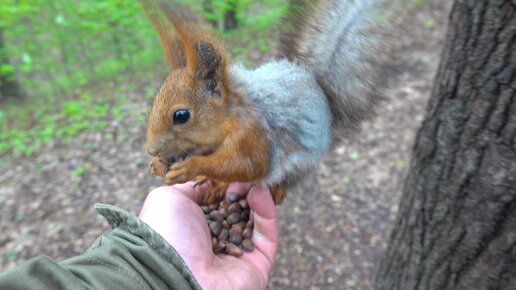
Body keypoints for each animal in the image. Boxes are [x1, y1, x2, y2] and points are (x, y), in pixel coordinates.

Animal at [141, 0, 392, 204]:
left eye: (181, 115)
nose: (151, 150)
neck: (230, 116)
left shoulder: (254, 133)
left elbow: (249, 166)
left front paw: (191, 167)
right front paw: (157, 164)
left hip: (300, 165)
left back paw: (274, 190)